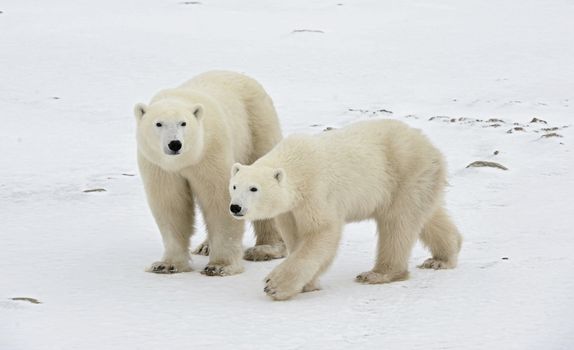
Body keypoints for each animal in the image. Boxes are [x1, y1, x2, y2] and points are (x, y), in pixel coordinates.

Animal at [136, 69, 288, 274]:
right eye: (158, 123)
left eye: (183, 123)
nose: (175, 144)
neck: (184, 161)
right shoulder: (160, 166)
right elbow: (171, 204)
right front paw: (166, 264)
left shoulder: (210, 152)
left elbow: (219, 200)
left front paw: (219, 266)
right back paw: (205, 246)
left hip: (257, 127)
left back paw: (265, 248)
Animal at [230, 119, 464, 298]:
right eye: (233, 186)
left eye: (254, 188)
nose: (235, 207)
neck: (295, 163)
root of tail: (431, 147)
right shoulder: (290, 210)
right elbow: (296, 237)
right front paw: (308, 284)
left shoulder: (315, 191)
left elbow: (321, 232)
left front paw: (275, 285)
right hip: (418, 182)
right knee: (426, 216)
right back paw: (442, 258)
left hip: (405, 173)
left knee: (398, 224)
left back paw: (378, 274)